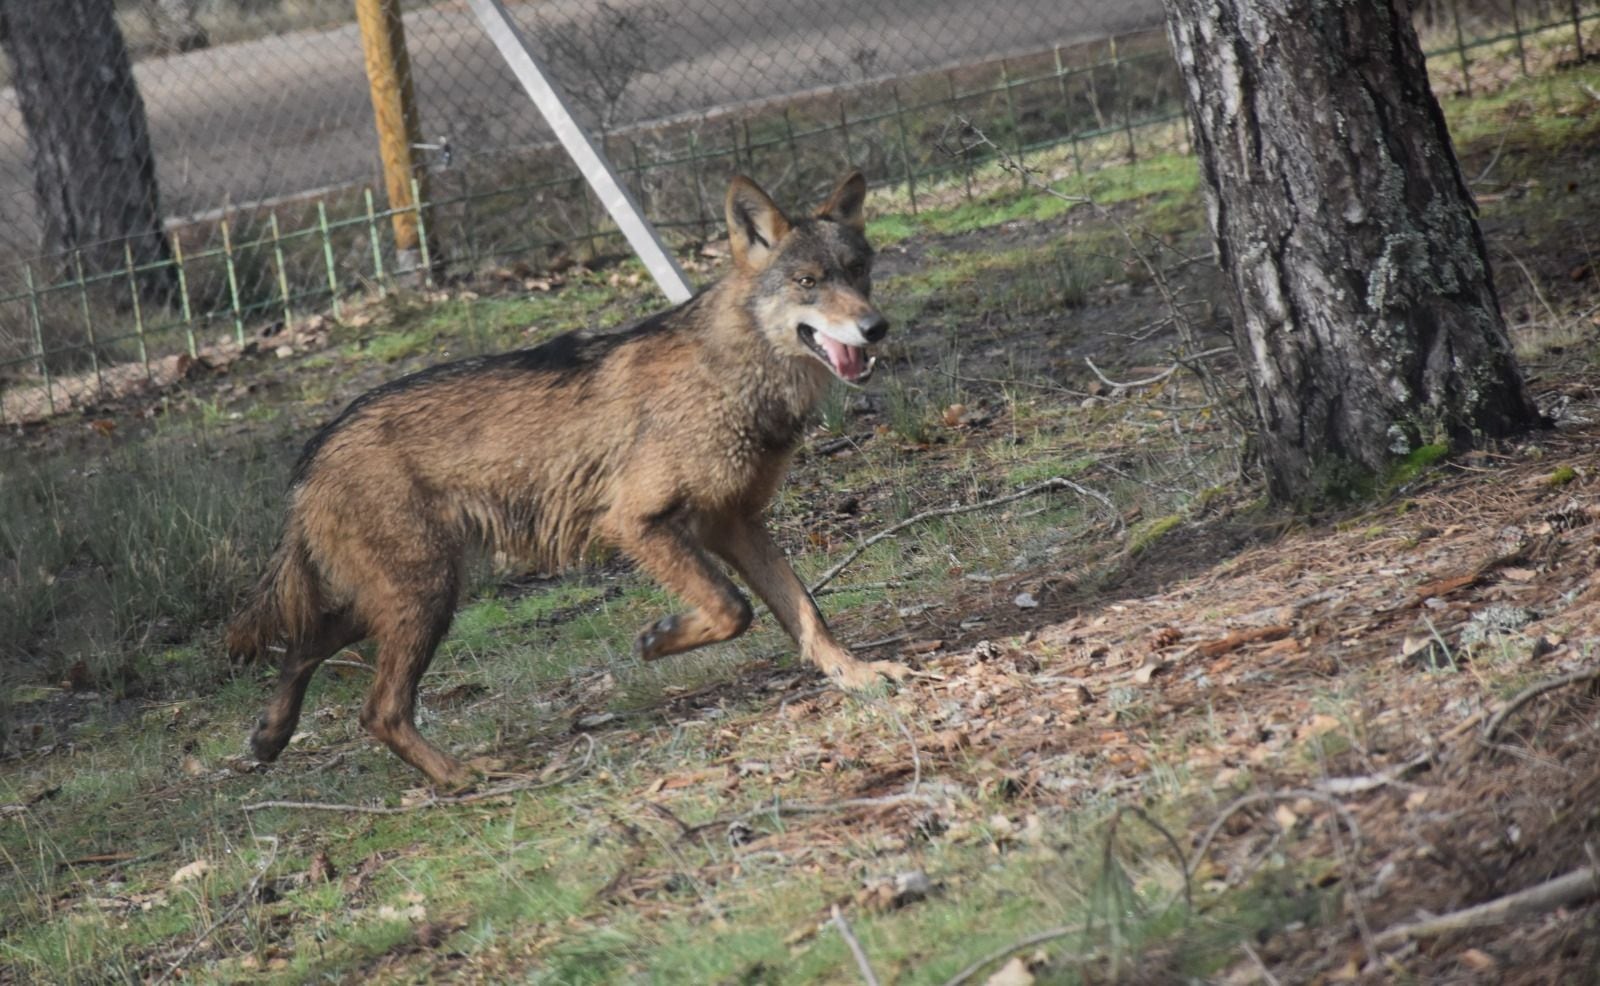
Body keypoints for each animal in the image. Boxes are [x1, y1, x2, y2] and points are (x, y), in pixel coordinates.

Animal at [232, 169, 921, 784]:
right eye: (808, 282)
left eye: (859, 270)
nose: (876, 327)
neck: (732, 372)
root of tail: (317, 448)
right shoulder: (639, 523)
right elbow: (733, 608)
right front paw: (659, 640)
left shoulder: (737, 525)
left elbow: (805, 612)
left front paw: (857, 675)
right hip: (424, 597)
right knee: (377, 710)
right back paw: (459, 777)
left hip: (405, 596)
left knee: (304, 645)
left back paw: (270, 735)